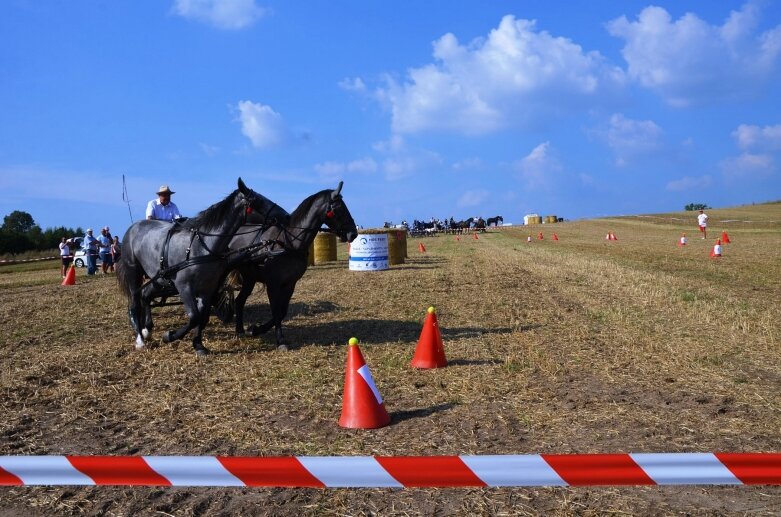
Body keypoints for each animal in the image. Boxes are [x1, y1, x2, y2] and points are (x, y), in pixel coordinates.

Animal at [119, 178, 292, 354]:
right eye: (258, 201)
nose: (286, 215)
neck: (201, 245)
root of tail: (133, 228)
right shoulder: (184, 286)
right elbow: (194, 317)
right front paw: (170, 336)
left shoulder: (207, 288)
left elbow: (201, 317)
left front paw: (199, 345)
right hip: (134, 272)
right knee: (135, 301)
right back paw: (140, 339)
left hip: (159, 278)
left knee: (146, 295)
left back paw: (147, 330)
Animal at [227, 179, 358, 348]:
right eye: (338, 209)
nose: (353, 233)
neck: (289, 242)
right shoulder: (273, 284)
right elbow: (276, 310)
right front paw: (280, 340)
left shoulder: (290, 284)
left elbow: (282, 311)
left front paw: (256, 329)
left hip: (250, 278)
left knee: (239, 301)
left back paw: (240, 330)